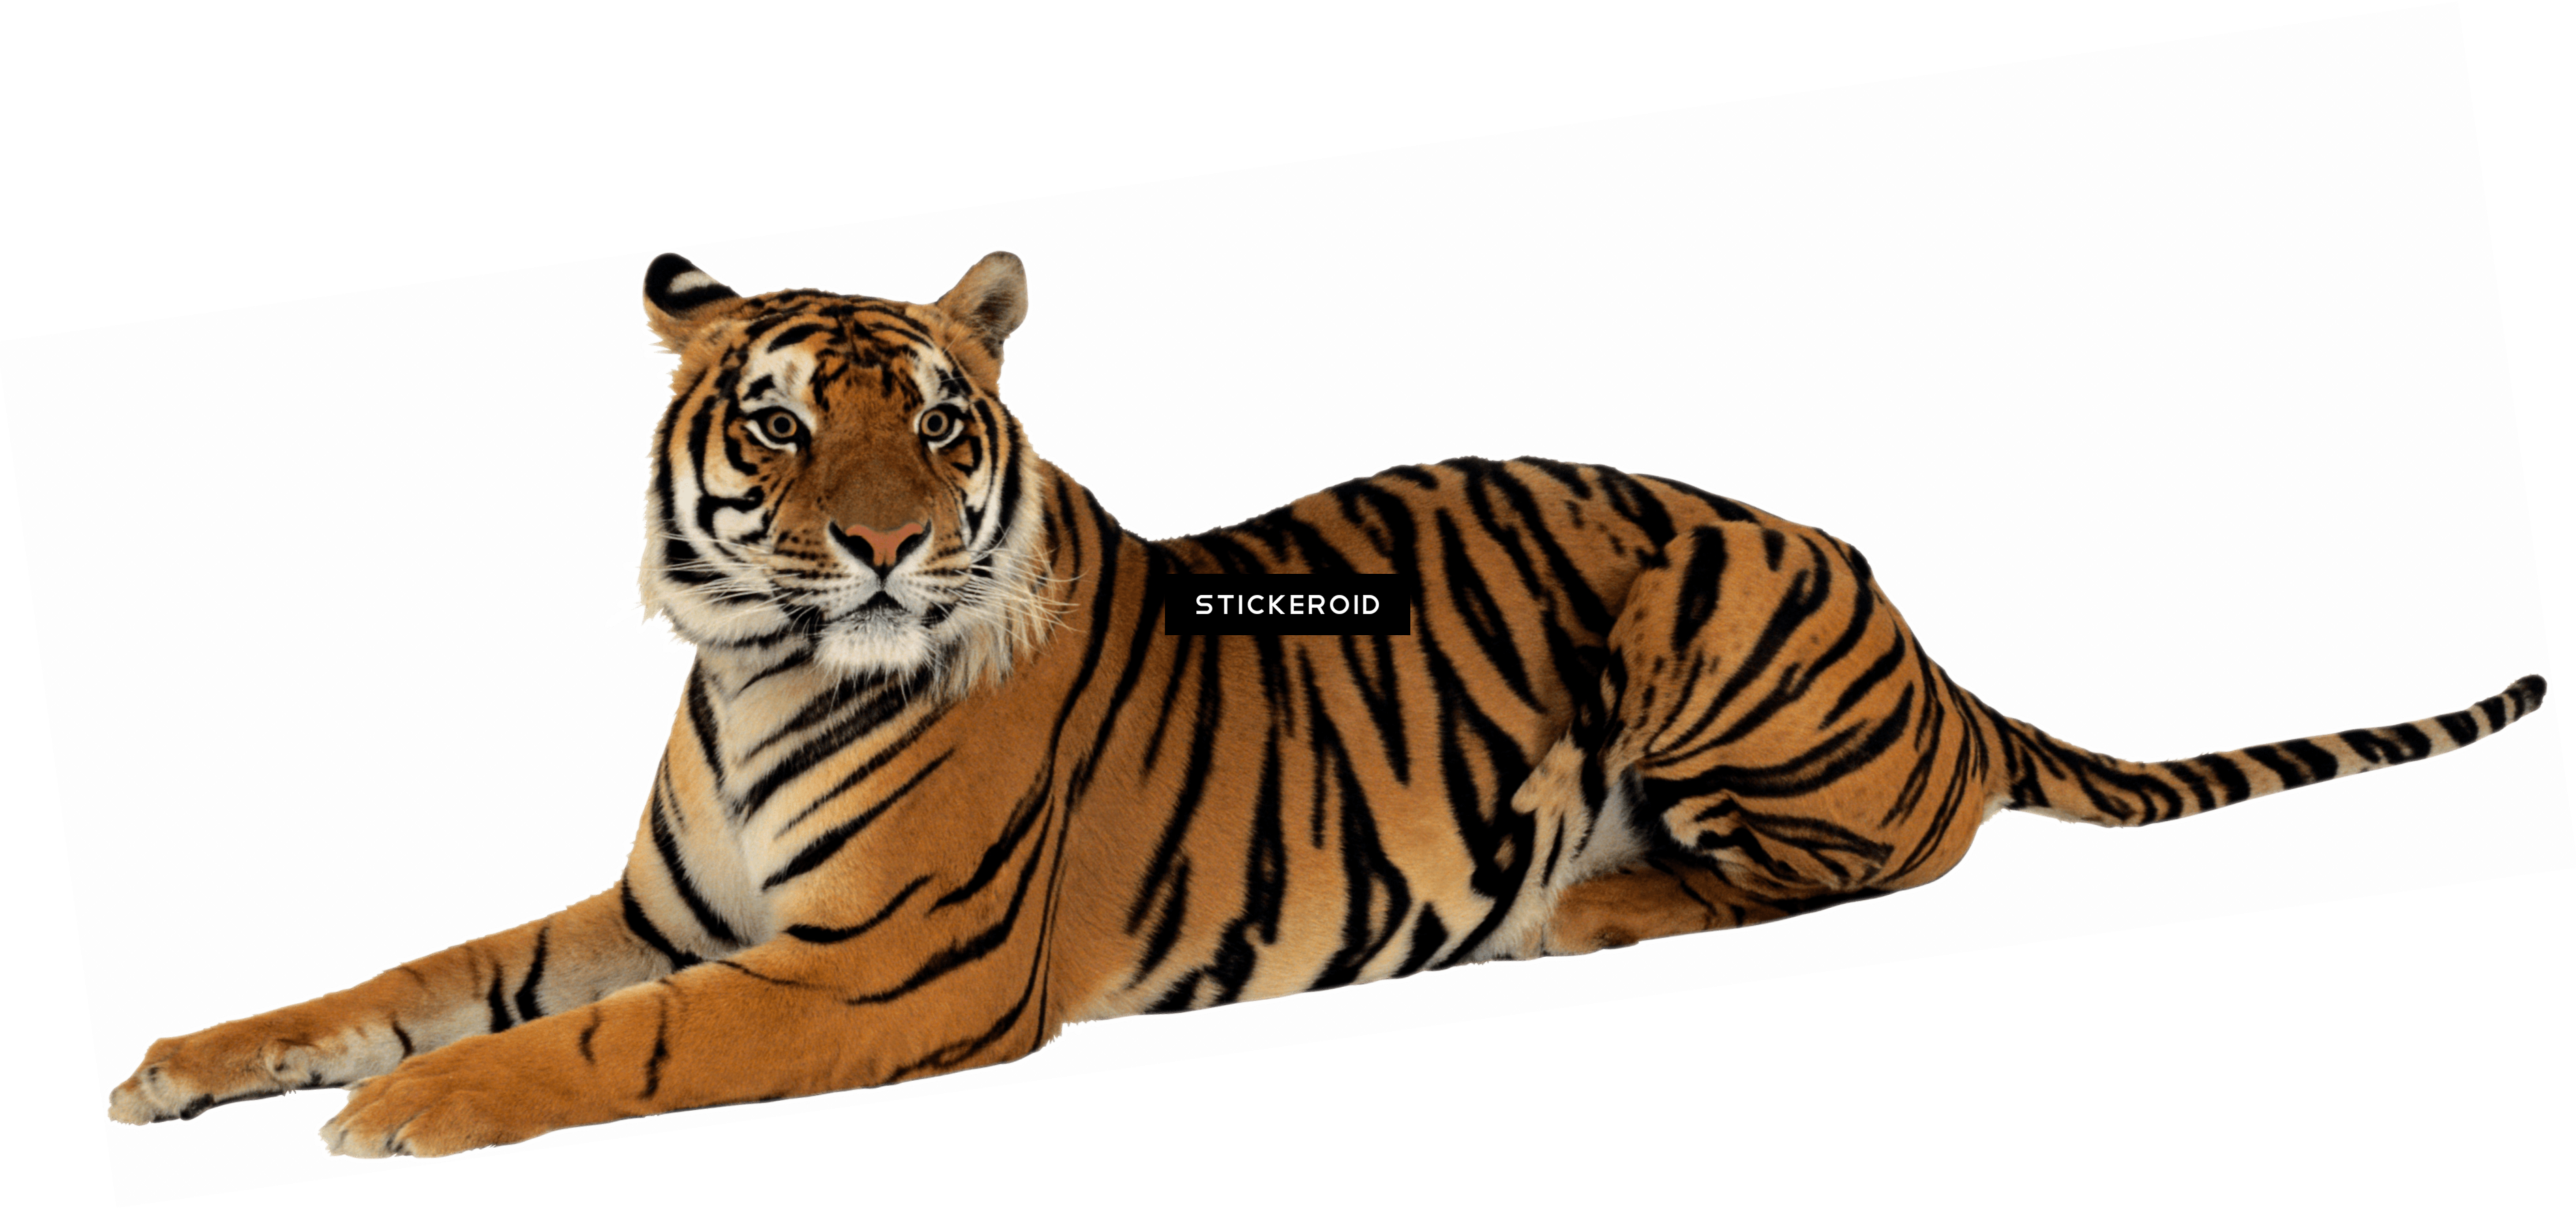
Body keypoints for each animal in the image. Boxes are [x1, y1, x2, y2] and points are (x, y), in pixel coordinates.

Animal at [103, 246, 2554, 1161]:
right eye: (783, 425)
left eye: (939, 425)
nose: (882, 548)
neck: (765, 675)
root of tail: (1929, 643)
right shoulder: (668, 909)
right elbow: (413, 968)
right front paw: (176, 1067)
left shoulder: (872, 971)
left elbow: (583, 1045)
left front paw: (385, 1119)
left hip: (1709, 610)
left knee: (1881, 846)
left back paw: (1591, 898)